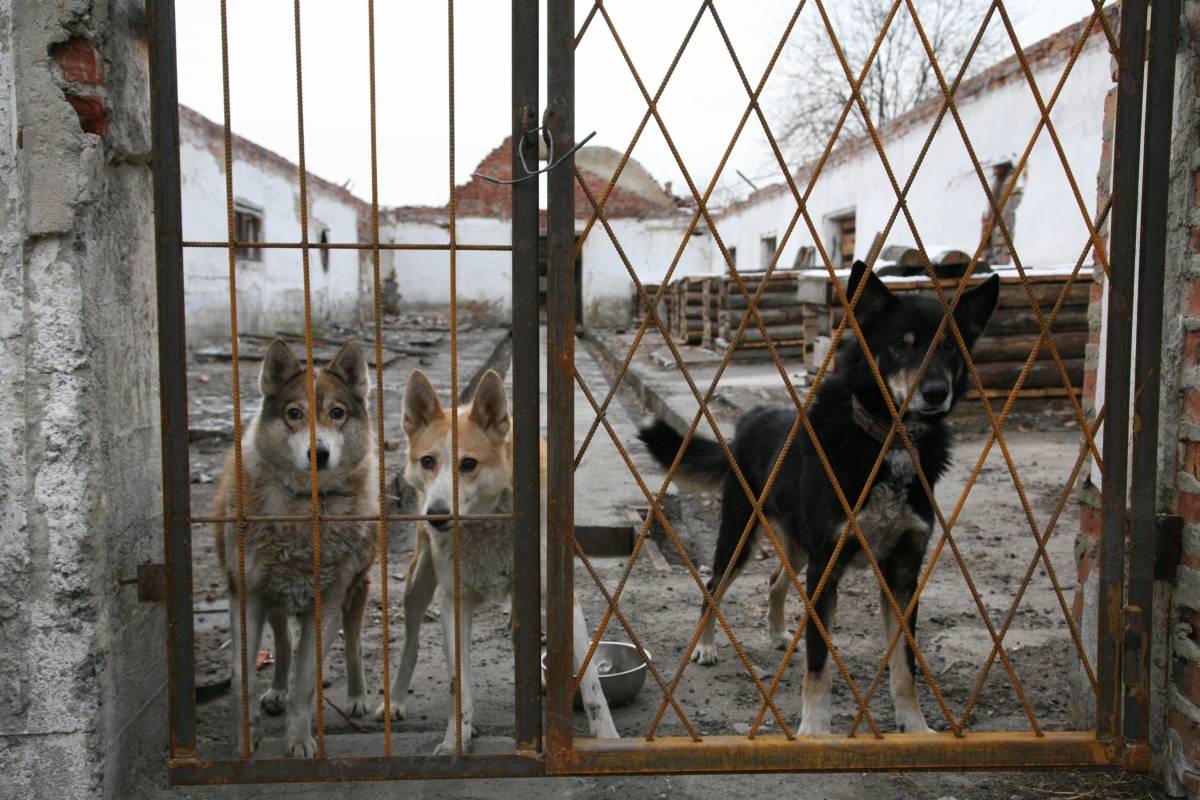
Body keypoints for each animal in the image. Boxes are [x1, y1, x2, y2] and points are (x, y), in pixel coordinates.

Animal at [213, 338, 376, 758]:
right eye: (294, 414)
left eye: (337, 413)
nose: (319, 454)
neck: (303, 509)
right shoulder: (246, 597)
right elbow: (243, 677)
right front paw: (247, 736)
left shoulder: (326, 607)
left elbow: (306, 684)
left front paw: (300, 740)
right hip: (274, 599)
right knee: (283, 645)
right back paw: (276, 691)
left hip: (357, 590)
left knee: (353, 644)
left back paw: (357, 697)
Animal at [374, 369, 619, 753]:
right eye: (428, 462)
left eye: (468, 464)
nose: (436, 515)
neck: (488, 521)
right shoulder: (454, 603)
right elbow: (459, 685)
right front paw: (456, 739)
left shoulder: (561, 597)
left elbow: (591, 681)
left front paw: (608, 738)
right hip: (418, 581)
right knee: (411, 644)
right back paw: (396, 699)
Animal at [643, 260, 998, 734]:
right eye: (898, 346)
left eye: (949, 348)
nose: (936, 394)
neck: (886, 443)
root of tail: (747, 423)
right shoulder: (826, 567)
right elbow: (819, 664)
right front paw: (814, 730)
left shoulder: (903, 574)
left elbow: (905, 665)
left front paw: (916, 726)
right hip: (742, 536)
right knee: (713, 586)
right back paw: (706, 646)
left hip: (797, 547)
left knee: (776, 581)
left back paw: (777, 634)